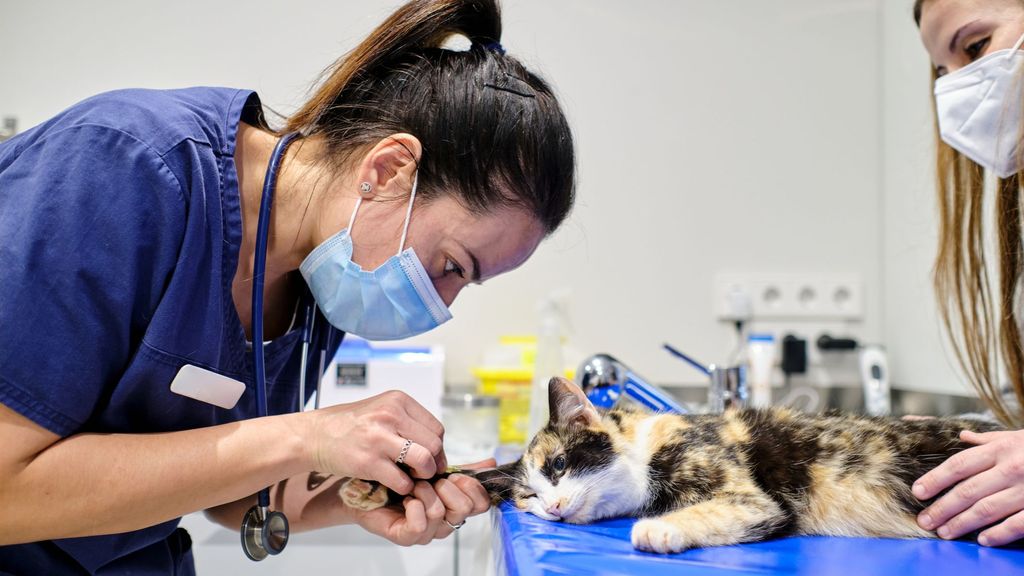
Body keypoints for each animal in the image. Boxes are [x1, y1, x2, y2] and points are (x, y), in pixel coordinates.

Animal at [342, 377, 999, 553]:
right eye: (526, 496)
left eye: (560, 464)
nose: (550, 507)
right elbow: (468, 473)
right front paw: (371, 487)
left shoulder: (753, 498)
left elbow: (729, 508)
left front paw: (656, 530)